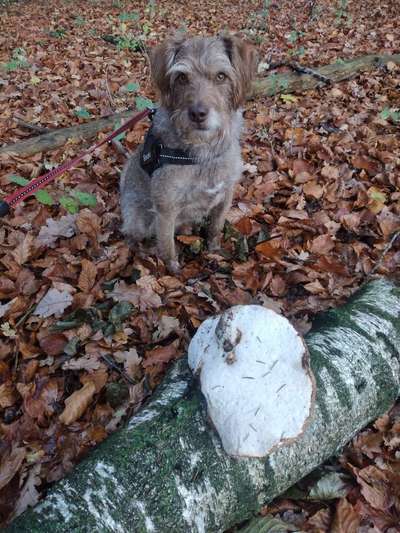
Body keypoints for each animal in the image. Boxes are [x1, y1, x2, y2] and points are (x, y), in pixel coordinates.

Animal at [119, 34, 256, 274]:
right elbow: (167, 246)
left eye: (221, 76)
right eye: (182, 77)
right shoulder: (165, 210)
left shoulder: (226, 195)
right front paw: (173, 271)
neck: (203, 154)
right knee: (131, 236)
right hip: (138, 219)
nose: (198, 114)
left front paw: (214, 249)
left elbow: (215, 228)